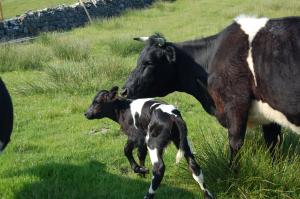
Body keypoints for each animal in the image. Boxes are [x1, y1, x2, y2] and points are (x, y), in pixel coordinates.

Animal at [85, 86, 214, 199]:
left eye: (97, 102)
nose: (86, 113)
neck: (123, 109)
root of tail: (173, 115)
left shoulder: (136, 136)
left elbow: (127, 150)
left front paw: (139, 169)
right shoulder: (142, 139)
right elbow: (141, 154)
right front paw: (142, 171)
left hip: (153, 142)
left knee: (159, 168)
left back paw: (148, 195)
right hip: (182, 142)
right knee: (194, 166)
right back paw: (208, 195)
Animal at [121, 15, 300, 165]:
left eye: (149, 63)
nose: (123, 91)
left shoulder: (236, 104)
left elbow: (235, 143)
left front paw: (232, 175)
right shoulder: (269, 116)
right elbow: (273, 144)